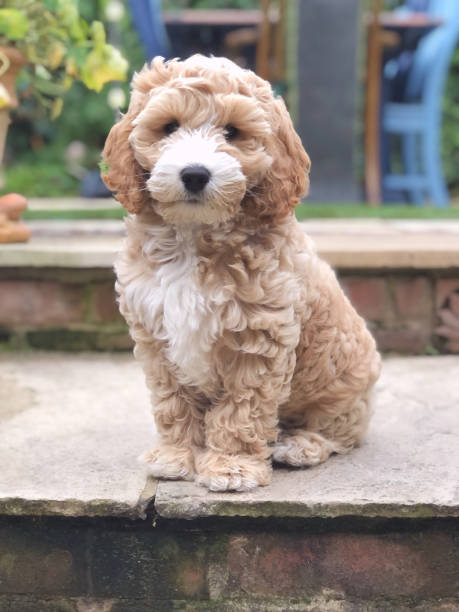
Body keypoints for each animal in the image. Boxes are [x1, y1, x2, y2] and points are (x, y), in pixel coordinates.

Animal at [102, 52, 382, 492]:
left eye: (233, 132)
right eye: (169, 127)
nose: (195, 174)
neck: (194, 236)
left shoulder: (258, 337)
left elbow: (241, 407)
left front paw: (231, 467)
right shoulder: (155, 334)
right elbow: (171, 401)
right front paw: (175, 456)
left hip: (344, 387)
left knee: (339, 432)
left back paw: (300, 446)